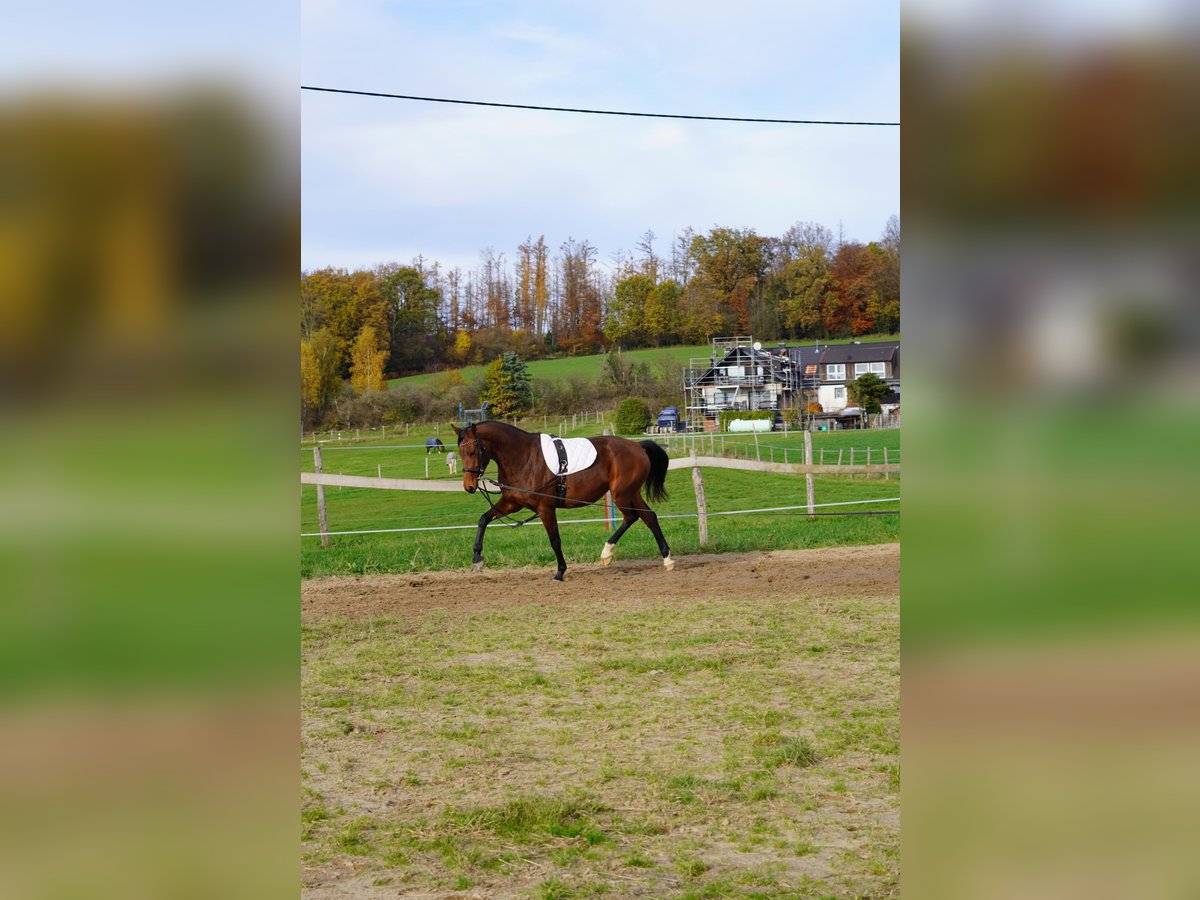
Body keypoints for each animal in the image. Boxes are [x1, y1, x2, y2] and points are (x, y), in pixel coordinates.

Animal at [451, 420, 674, 581]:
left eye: (472, 452)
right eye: (460, 452)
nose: (469, 486)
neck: (523, 457)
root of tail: (637, 446)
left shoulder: (546, 508)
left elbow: (555, 540)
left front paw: (560, 571)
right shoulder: (512, 503)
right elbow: (483, 519)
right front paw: (477, 558)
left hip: (621, 494)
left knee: (632, 517)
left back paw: (607, 553)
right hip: (631, 493)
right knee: (649, 517)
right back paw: (667, 559)